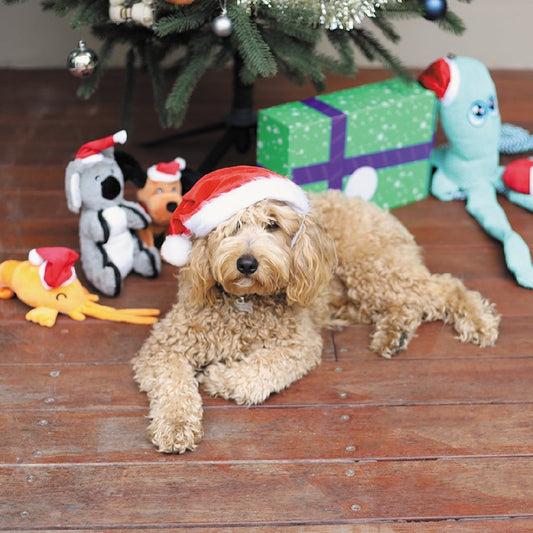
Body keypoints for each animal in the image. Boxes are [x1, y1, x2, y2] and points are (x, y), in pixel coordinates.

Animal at [133, 164, 498, 450]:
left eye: (272, 224)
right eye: (232, 226)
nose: (247, 263)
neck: (244, 303)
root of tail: (370, 206)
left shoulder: (299, 343)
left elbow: (258, 371)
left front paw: (219, 377)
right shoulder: (164, 347)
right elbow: (174, 386)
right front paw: (176, 426)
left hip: (374, 270)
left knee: (445, 287)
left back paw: (480, 321)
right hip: (370, 286)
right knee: (407, 304)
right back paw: (394, 335)